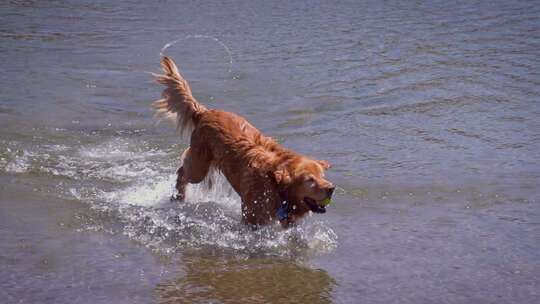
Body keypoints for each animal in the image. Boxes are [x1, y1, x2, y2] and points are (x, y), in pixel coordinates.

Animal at [152, 57, 334, 228]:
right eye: (310, 180)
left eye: (322, 176)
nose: (331, 188)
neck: (275, 185)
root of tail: (204, 111)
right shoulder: (252, 217)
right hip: (199, 168)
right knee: (182, 171)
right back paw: (178, 196)